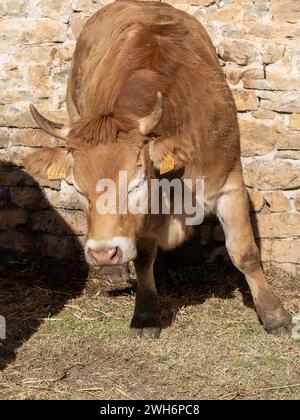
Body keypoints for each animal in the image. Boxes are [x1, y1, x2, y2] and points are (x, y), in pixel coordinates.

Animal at [24, 0, 292, 336]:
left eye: (136, 183)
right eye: (79, 190)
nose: (102, 253)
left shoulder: (230, 180)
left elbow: (244, 252)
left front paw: (275, 315)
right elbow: (143, 257)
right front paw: (146, 313)